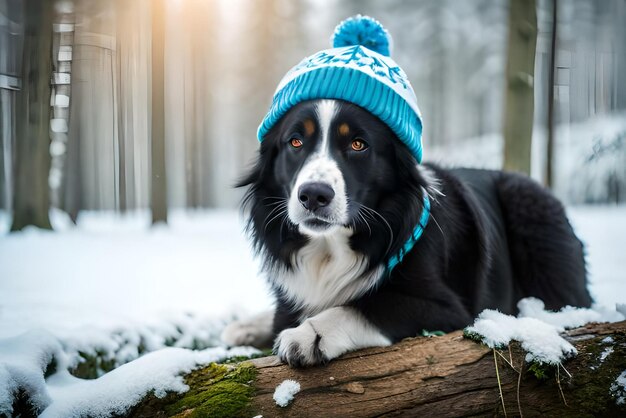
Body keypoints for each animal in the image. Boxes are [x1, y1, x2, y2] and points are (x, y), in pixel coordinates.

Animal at [222, 98, 592, 366]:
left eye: (358, 144)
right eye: (295, 142)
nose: (313, 195)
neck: (332, 248)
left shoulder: (449, 309)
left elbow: (368, 304)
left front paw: (309, 334)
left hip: (529, 206)